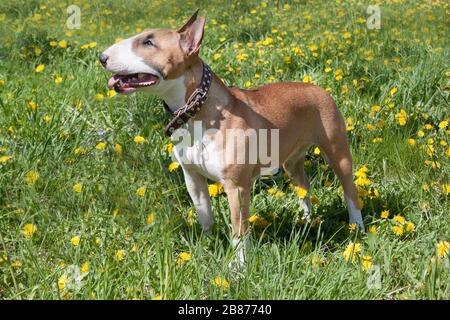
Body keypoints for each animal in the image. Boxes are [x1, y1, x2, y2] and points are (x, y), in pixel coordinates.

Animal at [100, 10, 364, 264]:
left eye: (148, 42)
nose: (102, 57)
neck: (198, 111)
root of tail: (318, 88)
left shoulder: (236, 187)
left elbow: (239, 232)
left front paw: (238, 266)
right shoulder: (192, 179)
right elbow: (205, 216)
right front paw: (206, 246)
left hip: (337, 152)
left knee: (350, 190)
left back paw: (356, 228)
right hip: (292, 161)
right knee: (303, 185)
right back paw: (306, 220)